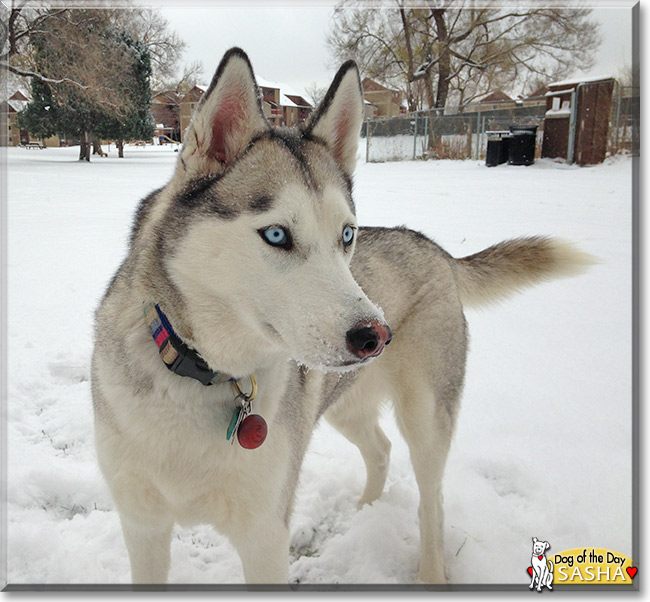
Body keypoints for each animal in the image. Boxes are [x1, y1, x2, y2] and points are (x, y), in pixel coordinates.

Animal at [92, 49, 592, 584]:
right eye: (276, 235)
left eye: (347, 235)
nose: (376, 335)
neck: (201, 374)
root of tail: (432, 245)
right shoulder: (142, 524)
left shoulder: (265, 533)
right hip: (344, 405)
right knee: (381, 449)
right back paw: (365, 510)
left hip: (426, 417)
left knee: (431, 500)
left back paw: (430, 569)